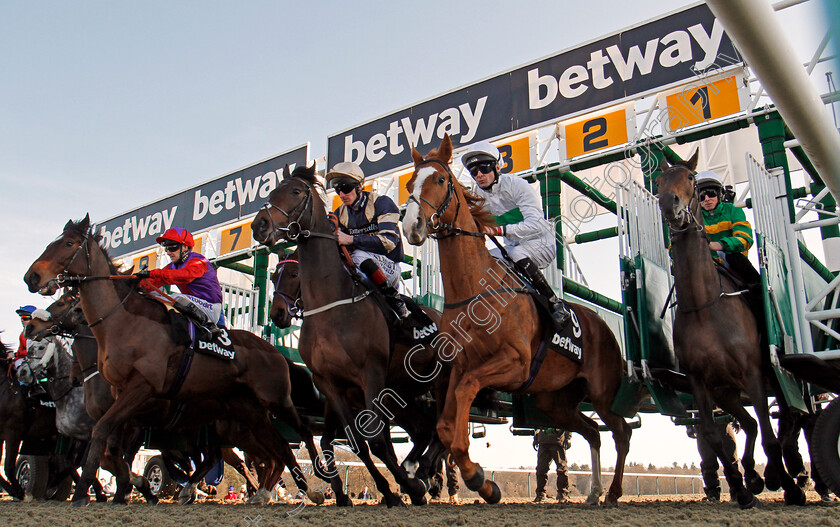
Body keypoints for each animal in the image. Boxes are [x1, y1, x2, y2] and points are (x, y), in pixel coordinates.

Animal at [23, 218, 324, 508]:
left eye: (68, 243)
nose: (32, 277)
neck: (123, 323)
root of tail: (274, 352)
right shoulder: (122, 397)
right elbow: (112, 448)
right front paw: (125, 491)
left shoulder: (141, 391)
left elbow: (103, 436)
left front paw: (88, 492)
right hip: (248, 411)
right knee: (277, 448)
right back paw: (266, 493)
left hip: (274, 401)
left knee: (300, 433)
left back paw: (314, 488)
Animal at [251, 165, 450, 508]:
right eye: (275, 276)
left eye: (295, 192)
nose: (259, 224)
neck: (331, 304)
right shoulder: (331, 384)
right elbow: (354, 441)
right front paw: (387, 491)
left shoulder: (370, 373)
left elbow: (377, 439)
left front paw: (405, 489)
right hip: (405, 390)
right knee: (424, 429)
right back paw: (418, 471)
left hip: (440, 380)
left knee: (443, 425)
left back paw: (422, 474)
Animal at [400, 134, 632, 506]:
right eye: (409, 184)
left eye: (440, 179)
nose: (412, 226)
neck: (475, 290)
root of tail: (604, 326)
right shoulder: (460, 366)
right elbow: (446, 424)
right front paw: (479, 480)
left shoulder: (515, 364)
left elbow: (463, 397)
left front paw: (477, 476)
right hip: (555, 400)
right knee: (593, 431)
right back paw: (595, 492)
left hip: (601, 390)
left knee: (620, 431)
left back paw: (612, 492)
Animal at [656, 153, 808, 508]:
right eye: (658, 181)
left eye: (690, 178)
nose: (670, 206)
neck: (705, 306)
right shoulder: (701, 382)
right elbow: (714, 435)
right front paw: (740, 488)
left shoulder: (752, 372)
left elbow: (769, 435)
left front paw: (788, 486)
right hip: (727, 390)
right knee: (751, 423)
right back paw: (755, 476)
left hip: (777, 379)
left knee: (786, 421)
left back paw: (788, 475)